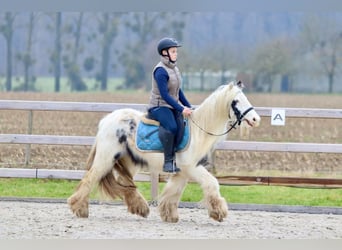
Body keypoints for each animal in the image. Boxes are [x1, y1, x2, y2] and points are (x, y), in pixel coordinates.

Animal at [68, 80, 260, 223]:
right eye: (236, 101)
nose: (255, 119)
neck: (199, 130)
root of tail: (106, 120)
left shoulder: (182, 171)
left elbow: (173, 191)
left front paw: (169, 215)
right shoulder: (192, 167)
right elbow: (211, 183)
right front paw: (219, 212)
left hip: (128, 161)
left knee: (125, 182)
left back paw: (140, 208)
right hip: (106, 158)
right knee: (90, 178)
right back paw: (79, 208)